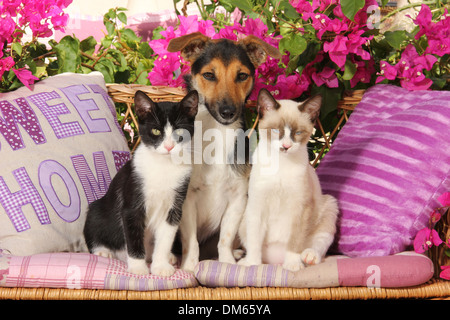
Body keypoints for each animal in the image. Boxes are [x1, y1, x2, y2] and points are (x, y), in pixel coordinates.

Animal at [83, 89, 199, 276]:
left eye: (179, 131)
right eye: (156, 131)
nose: (169, 146)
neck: (163, 165)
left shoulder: (175, 206)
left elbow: (166, 237)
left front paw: (160, 266)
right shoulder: (132, 202)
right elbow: (134, 233)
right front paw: (138, 268)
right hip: (98, 210)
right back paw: (103, 252)